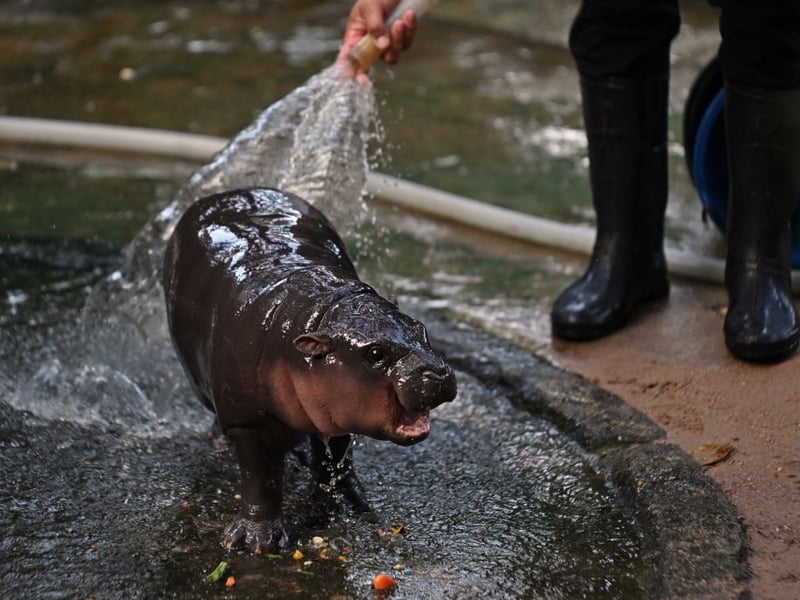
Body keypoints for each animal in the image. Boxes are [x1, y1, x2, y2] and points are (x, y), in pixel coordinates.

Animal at [162, 187, 457, 554]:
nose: (439, 373)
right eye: (375, 353)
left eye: (421, 329)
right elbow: (261, 477)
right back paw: (221, 442)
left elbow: (337, 457)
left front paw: (347, 505)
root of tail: (229, 192)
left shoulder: (338, 409)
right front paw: (257, 543)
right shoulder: (249, 420)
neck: (319, 313)